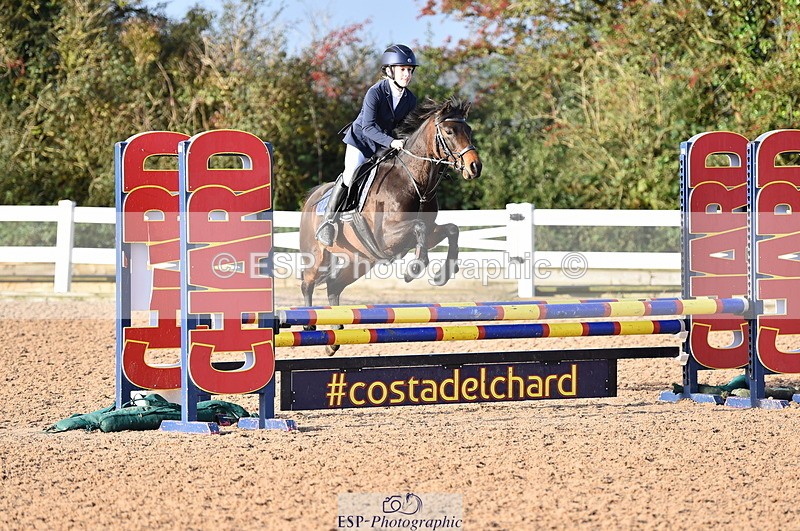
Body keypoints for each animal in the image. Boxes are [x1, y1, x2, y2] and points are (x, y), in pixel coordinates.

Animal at [298, 97, 482, 354]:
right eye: (449, 131)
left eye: (469, 130)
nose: (475, 167)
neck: (415, 181)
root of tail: (312, 196)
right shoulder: (386, 237)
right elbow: (419, 227)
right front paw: (414, 268)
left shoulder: (426, 233)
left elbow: (450, 229)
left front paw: (441, 275)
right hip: (317, 254)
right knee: (308, 283)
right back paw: (309, 324)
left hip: (361, 260)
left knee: (334, 286)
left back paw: (334, 337)